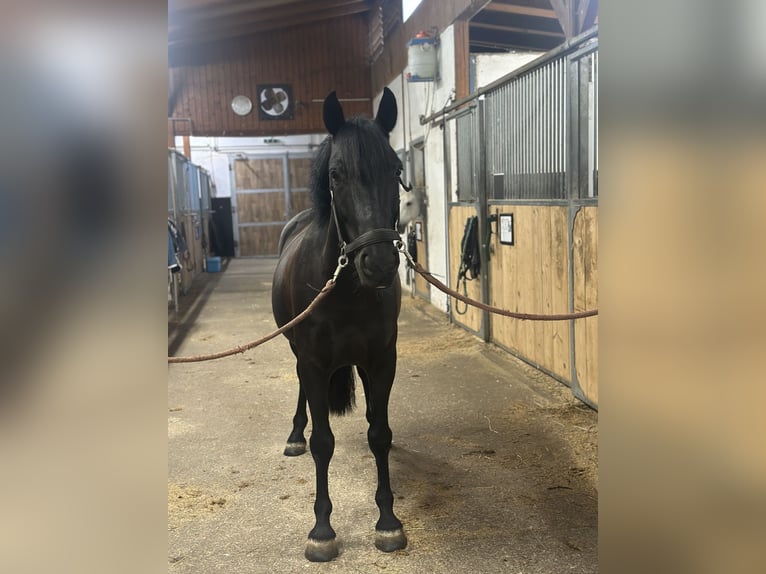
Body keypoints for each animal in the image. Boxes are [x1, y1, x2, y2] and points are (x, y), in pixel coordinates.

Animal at [271, 88, 407, 562]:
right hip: (297, 352)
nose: (379, 263)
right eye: (335, 173)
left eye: (397, 168)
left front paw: (387, 521)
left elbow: (379, 432)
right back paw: (294, 434)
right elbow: (323, 442)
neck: (347, 291)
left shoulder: (382, 361)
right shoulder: (313, 363)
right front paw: (322, 530)